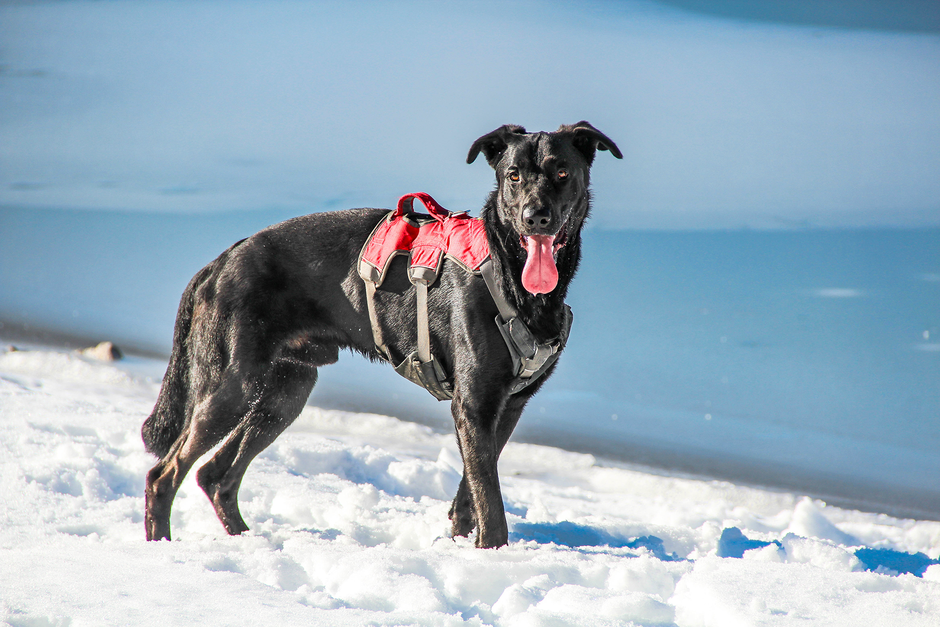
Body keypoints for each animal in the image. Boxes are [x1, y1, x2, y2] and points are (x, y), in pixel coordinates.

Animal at [143, 120, 620, 548]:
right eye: (513, 175)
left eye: (562, 172)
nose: (534, 217)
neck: (509, 275)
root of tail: (221, 261)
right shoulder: (474, 405)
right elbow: (490, 499)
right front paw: (494, 556)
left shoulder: (507, 408)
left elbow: (471, 493)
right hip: (234, 385)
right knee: (164, 473)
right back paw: (162, 545)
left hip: (284, 394)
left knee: (215, 475)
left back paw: (246, 540)